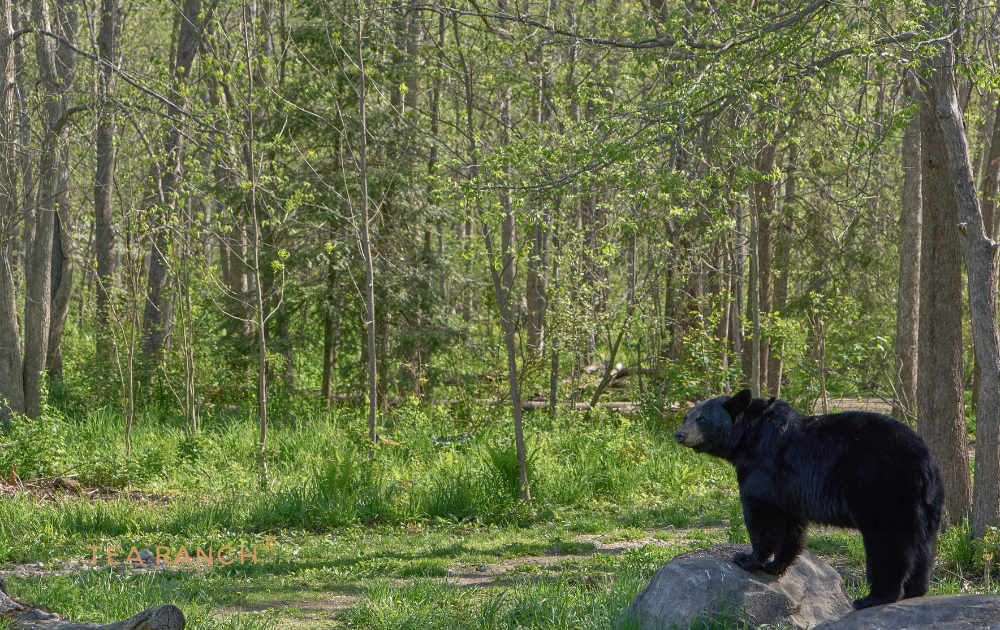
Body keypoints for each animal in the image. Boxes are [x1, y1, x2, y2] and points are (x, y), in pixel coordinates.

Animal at [674, 388, 944, 610]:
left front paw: (748, 559)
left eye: (702, 419)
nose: (679, 434)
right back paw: (915, 590)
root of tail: (922, 460)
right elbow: (791, 527)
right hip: (927, 502)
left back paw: (874, 597)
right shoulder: (790, 490)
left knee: (887, 542)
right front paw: (776, 565)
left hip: (882, 489)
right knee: (924, 544)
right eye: (686, 417)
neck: (749, 437)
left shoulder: (763, 468)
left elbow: (761, 514)